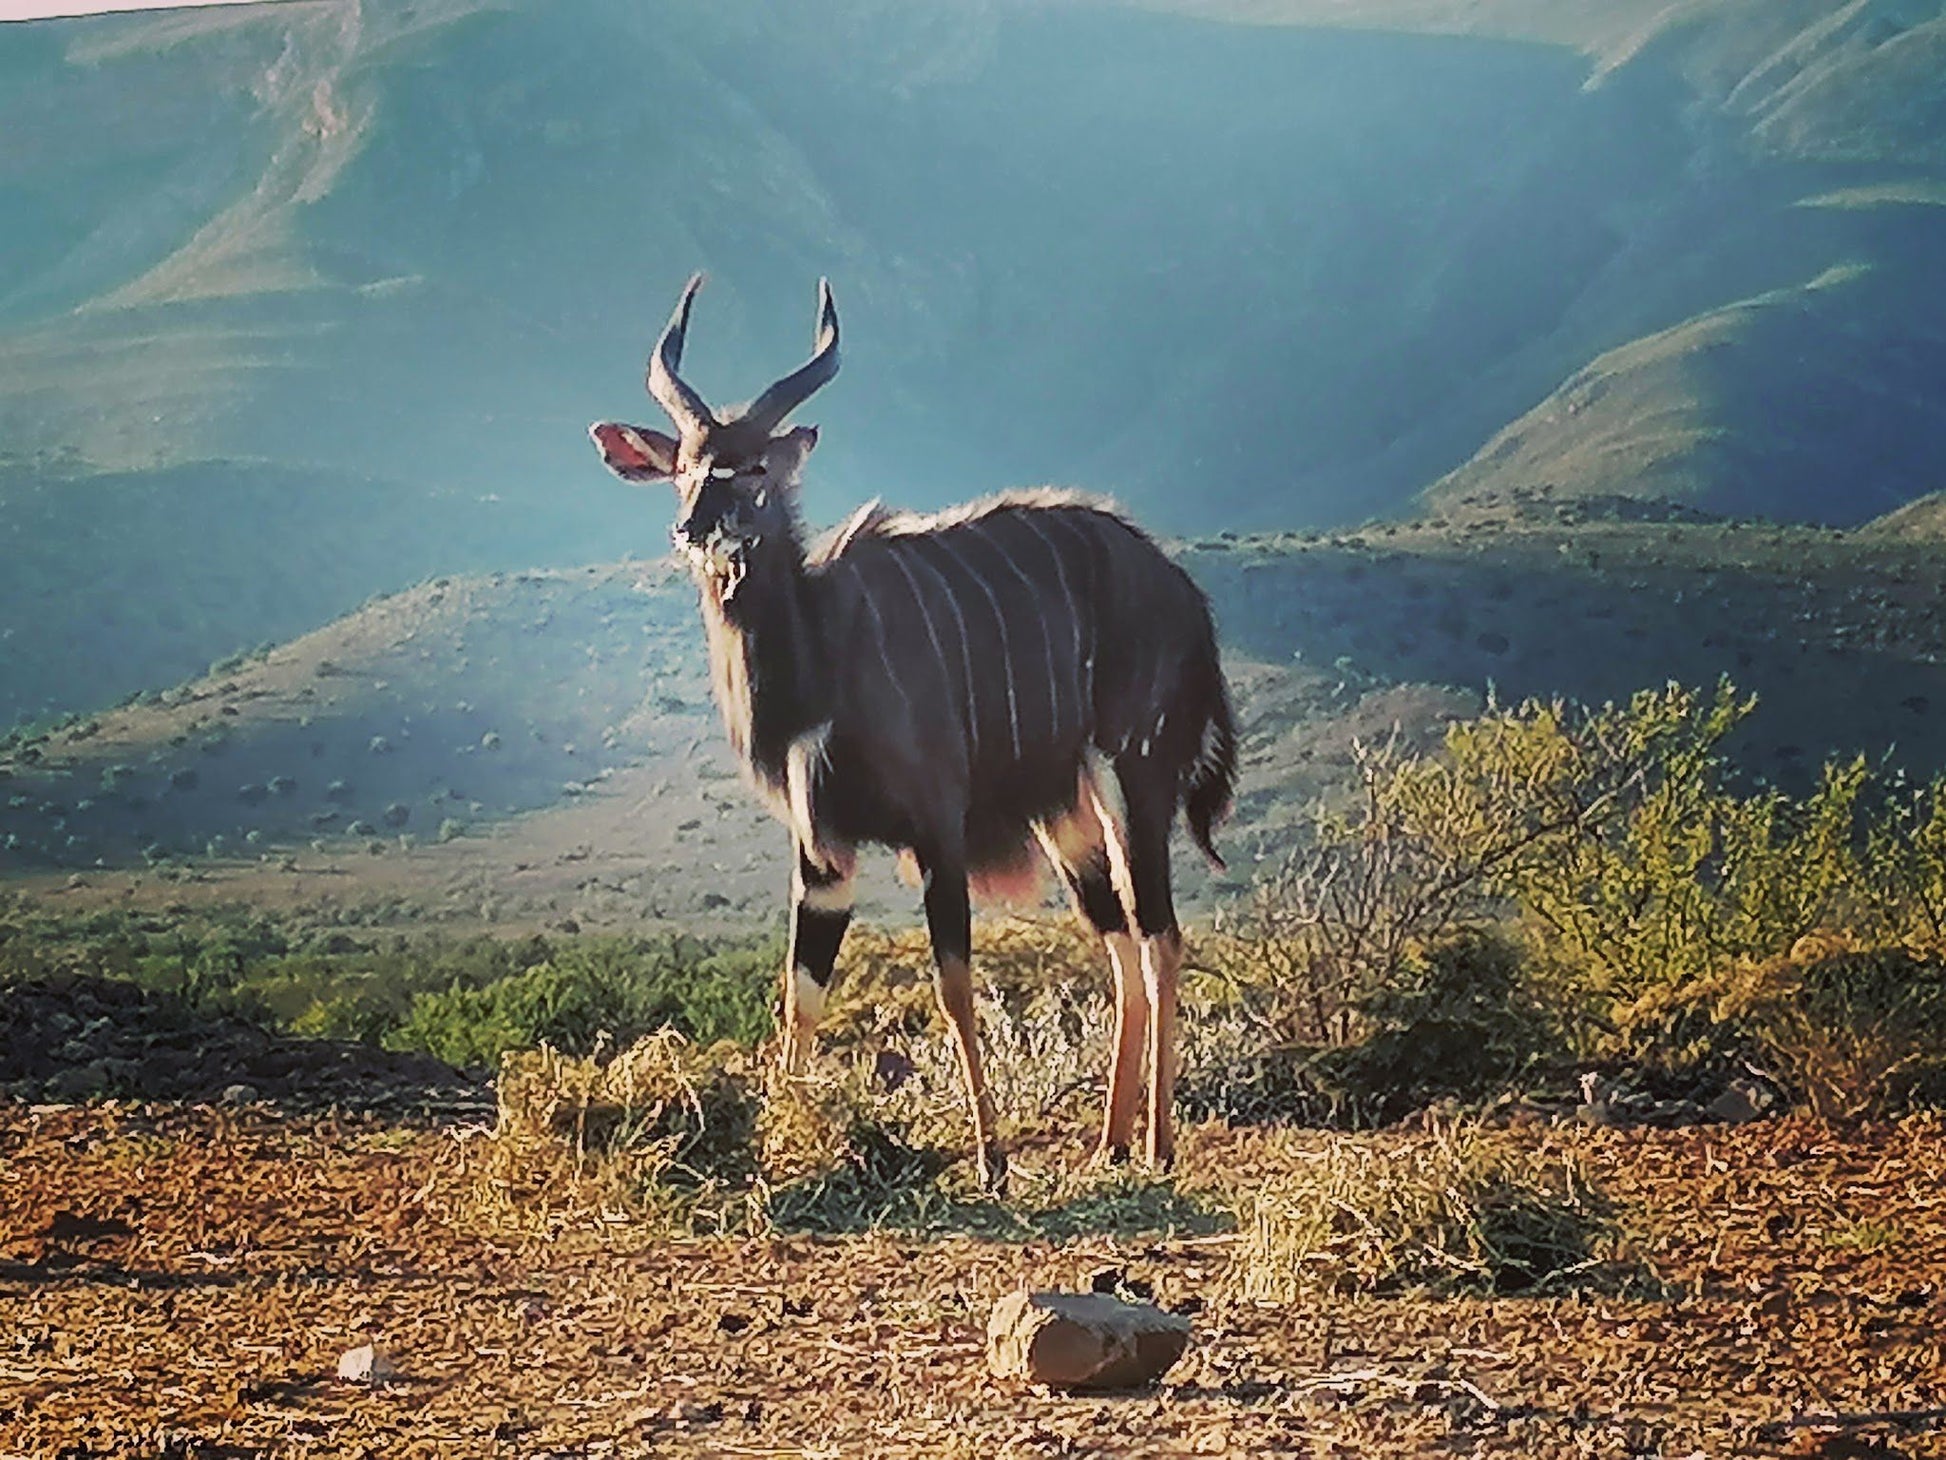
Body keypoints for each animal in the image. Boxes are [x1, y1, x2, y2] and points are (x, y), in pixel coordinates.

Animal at [583, 274, 1237, 1191]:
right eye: (681, 467)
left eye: (755, 467)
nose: (695, 530)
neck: (822, 654)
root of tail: (1187, 598)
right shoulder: (821, 851)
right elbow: (803, 991)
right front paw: (782, 1142)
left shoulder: (937, 829)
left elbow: (953, 983)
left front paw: (992, 1158)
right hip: (1068, 815)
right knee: (1119, 943)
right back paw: (1109, 1142)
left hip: (1133, 780)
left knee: (1160, 937)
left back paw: (1157, 1145)